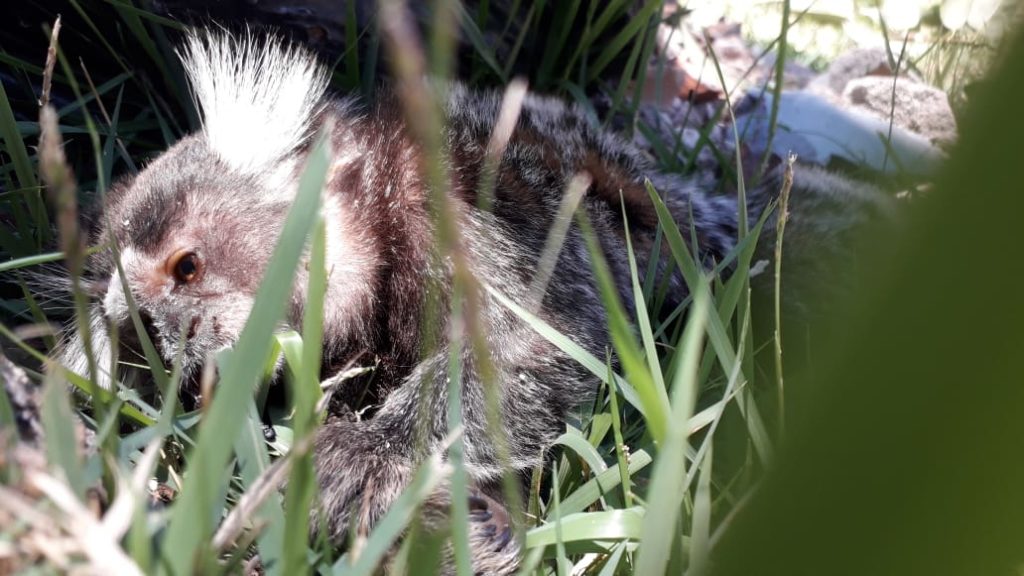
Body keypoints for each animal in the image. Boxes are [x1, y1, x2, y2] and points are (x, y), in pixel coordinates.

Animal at [52, 31, 896, 574]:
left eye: (187, 266)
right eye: (137, 330)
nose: (171, 337)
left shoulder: (455, 211)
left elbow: (536, 349)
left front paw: (369, 455)